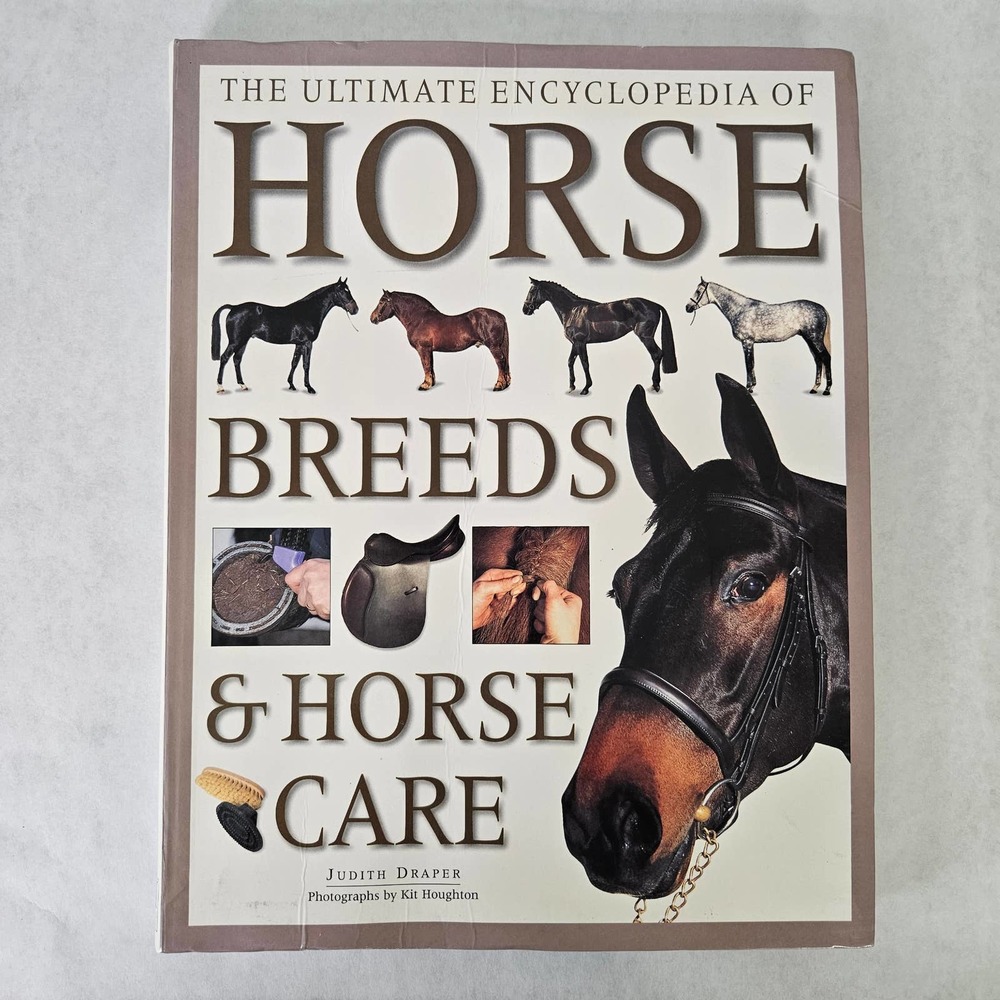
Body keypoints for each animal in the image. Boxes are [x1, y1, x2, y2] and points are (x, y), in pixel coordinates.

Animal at [211, 278, 359, 394]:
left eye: (349, 290)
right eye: (342, 291)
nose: (355, 309)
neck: (308, 311)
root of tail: (234, 307)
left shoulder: (299, 344)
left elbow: (294, 363)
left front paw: (291, 385)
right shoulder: (308, 343)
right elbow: (306, 364)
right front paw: (309, 388)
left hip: (243, 341)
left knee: (237, 360)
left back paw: (243, 385)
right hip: (235, 341)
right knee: (224, 358)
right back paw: (220, 387)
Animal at [369, 290, 511, 392]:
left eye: (381, 302)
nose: (372, 318)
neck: (419, 318)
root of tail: (501, 316)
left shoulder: (423, 349)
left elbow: (425, 365)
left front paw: (424, 385)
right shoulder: (429, 350)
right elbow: (430, 365)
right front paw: (431, 383)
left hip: (494, 346)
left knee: (500, 362)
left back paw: (499, 385)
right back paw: (506, 383)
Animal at [522, 277, 677, 396]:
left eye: (532, 291)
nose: (525, 310)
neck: (572, 310)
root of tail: (655, 305)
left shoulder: (580, 342)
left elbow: (584, 362)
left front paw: (585, 388)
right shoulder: (575, 343)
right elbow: (570, 361)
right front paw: (571, 386)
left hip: (646, 337)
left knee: (657, 355)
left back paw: (655, 386)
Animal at [686, 278, 832, 395]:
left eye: (698, 291)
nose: (687, 307)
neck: (740, 309)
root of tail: (822, 308)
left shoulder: (747, 342)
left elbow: (749, 364)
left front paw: (748, 388)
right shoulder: (750, 343)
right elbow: (752, 363)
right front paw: (752, 386)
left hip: (815, 339)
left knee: (825, 357)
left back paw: (826, 390)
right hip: (809, 339)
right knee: (818, 359)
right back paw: (814, 388)